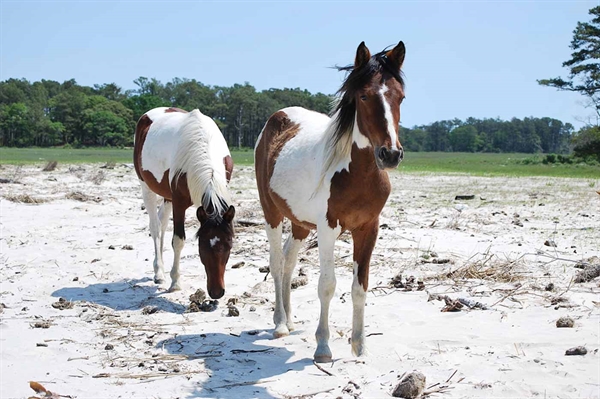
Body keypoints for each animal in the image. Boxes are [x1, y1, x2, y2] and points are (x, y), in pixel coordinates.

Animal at [134, 107, 234, 300]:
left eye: (229, 246)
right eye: (202, 246)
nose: (217, 292)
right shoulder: (179, 203)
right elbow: (178, 240)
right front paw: (175, 282)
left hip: (167, 197)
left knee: (162, 223)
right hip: (146, 187)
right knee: (155, 227)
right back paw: (159, 272)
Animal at [255, 42, 406, 364]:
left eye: (400, 96)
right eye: (364, 95)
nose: (390, 154)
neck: (355, 174)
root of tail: (277, 118)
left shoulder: (368, 230)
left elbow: (360, 287)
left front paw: (360, 346)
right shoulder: (327, 230)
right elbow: (327, 285)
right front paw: (323, 347)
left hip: (299, 222)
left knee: (289, 259)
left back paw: (290, 320)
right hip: (272, 212)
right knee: (276, 262)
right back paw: (279, 324)